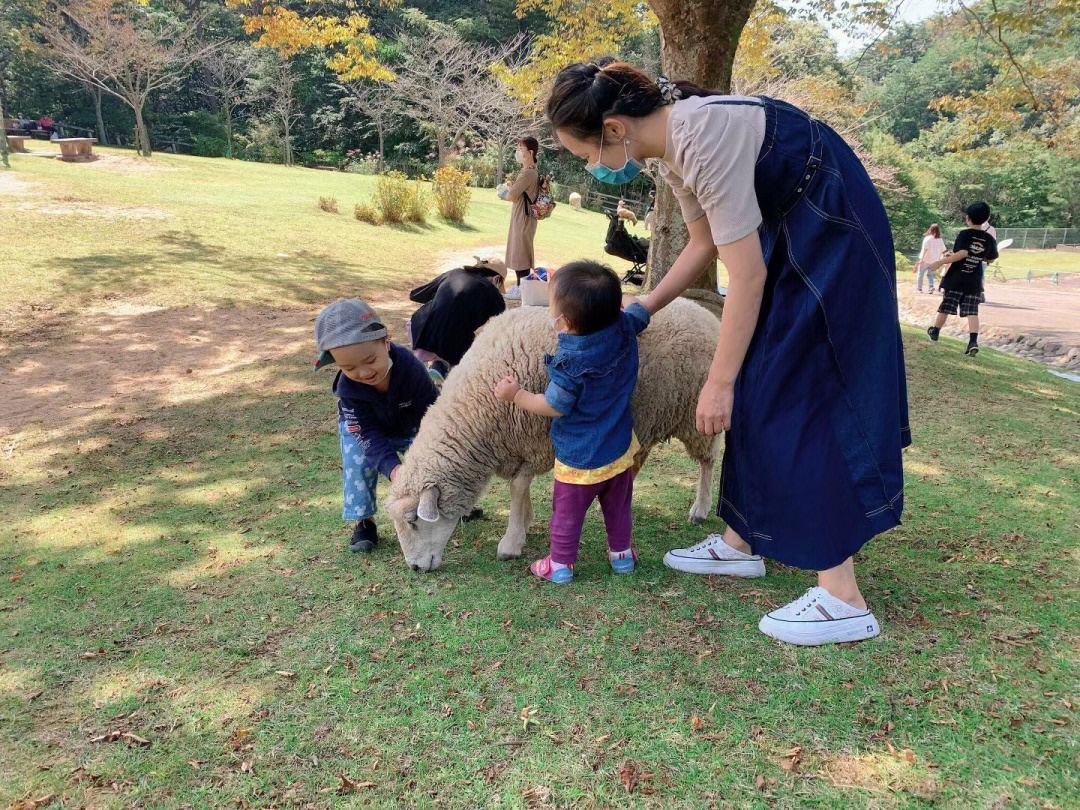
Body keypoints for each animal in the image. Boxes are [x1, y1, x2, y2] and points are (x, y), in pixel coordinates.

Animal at [384, 300, 721, 578]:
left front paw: (511, 541)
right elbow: (519, 489)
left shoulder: (537, 442)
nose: (415, 568)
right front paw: (524, 522)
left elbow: (518, 487)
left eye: (413, 520)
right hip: (650, 415)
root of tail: (705, 314)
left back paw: (701, 508)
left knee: (707, 462)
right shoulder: (517, 443)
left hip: (694, 414)